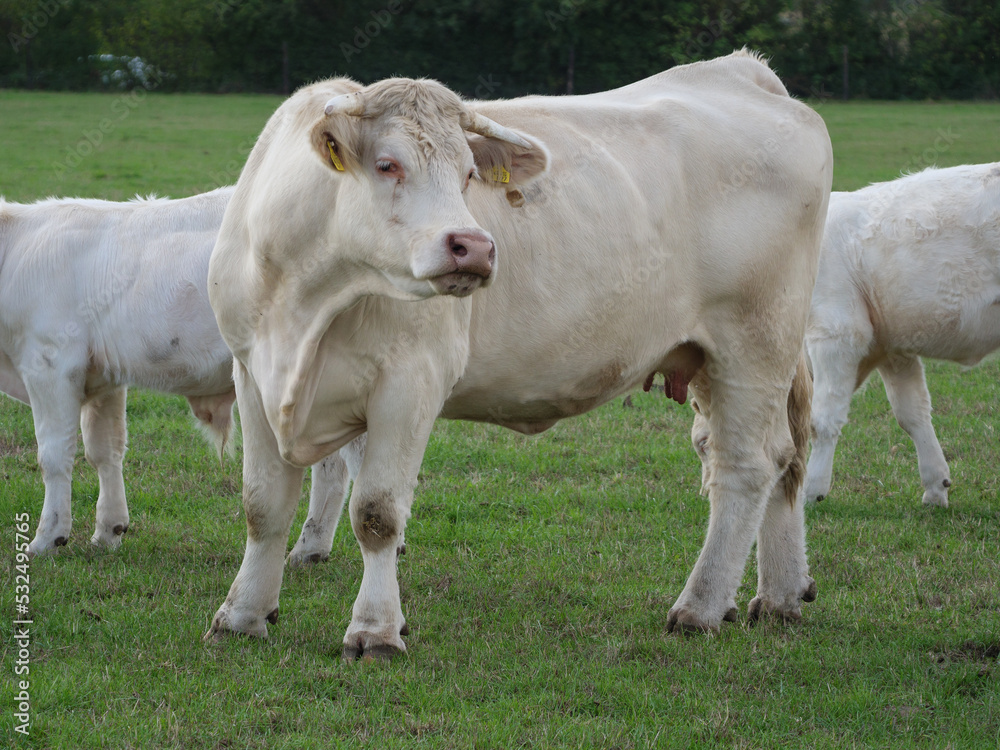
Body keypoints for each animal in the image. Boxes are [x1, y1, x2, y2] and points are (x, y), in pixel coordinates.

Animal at [0, 188, 238, 556]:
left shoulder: (50, 364)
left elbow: (53, 455)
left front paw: (47, 538)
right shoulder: (103, 378)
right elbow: (105, 451)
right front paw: (108, 531)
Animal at [207, 50, 832, 656]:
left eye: (467, 174)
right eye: (387, 164)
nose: (475, 246)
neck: (304, 303)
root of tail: (741, 71)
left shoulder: (409, 383)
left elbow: (377, 514)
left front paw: (376, 631)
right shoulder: (251, 374)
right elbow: (262, 507)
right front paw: (242, 616)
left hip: (753, 343)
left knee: (747, 466)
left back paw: (700, 608)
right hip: (708, 356)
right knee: (779, 457)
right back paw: (778, 596)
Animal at [804, 163, 1000, 506]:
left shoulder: (836, 333)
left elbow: (822, 421)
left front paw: (810, 493)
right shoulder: (892, 349)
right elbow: (913, 413)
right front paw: (936, 486)